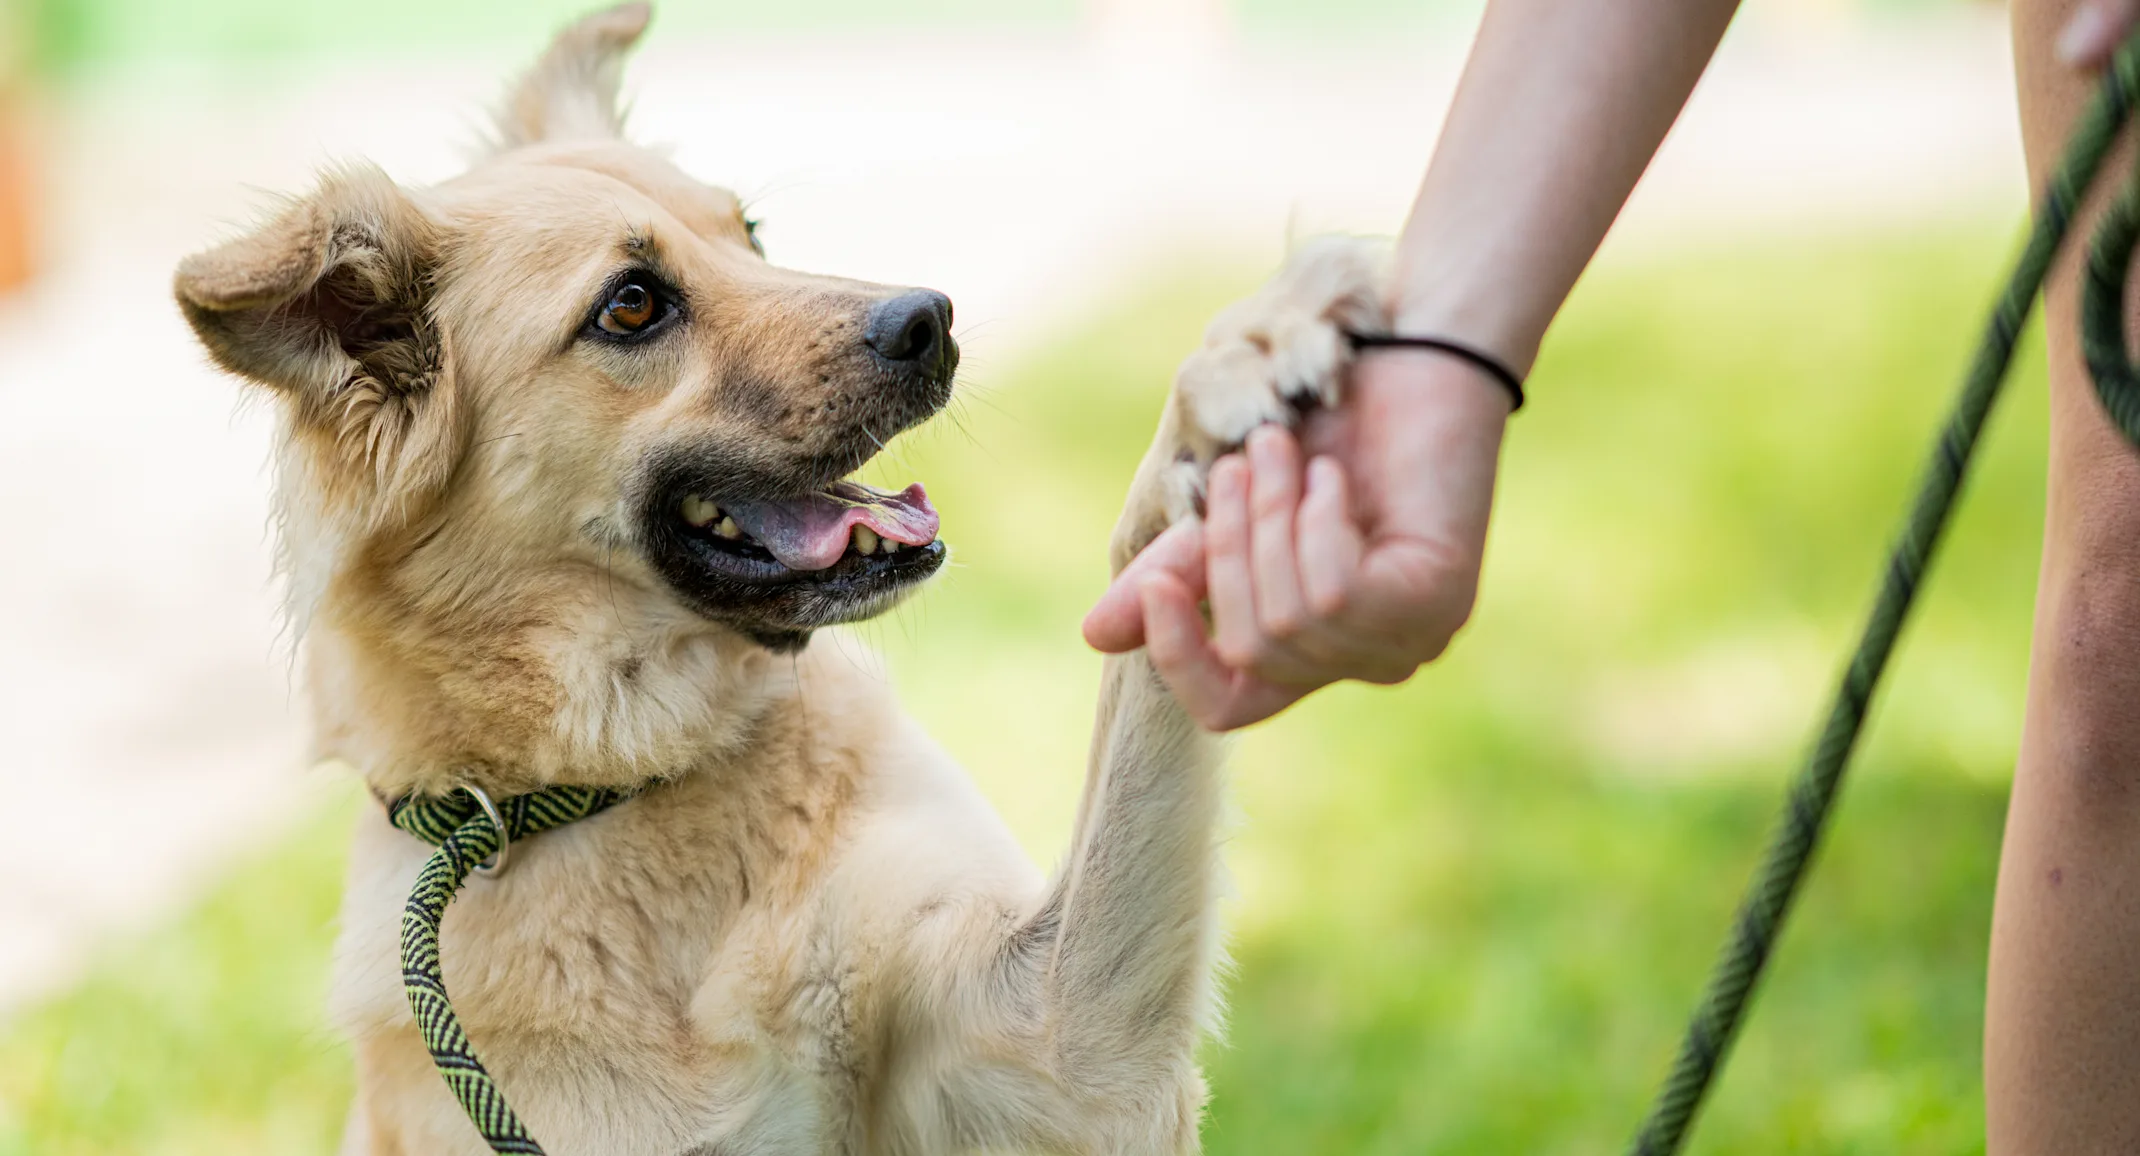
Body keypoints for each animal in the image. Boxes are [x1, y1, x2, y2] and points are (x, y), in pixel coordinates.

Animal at [179, 4, 1386, 1147]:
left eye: (747, 231)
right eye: (631, 304)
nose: (932, 319)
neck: (637, 776)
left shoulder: (1054, 1048)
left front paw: (1249, 358)